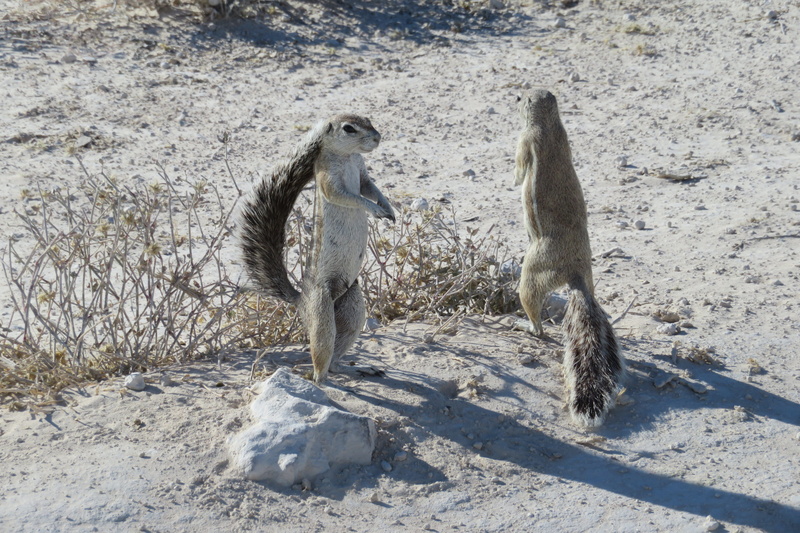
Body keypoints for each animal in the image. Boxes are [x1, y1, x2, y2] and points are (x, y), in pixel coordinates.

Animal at [237, 114, 395, 384]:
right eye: (349, 128)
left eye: (368, 120)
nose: (378, 138)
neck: (348, 156)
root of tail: (301, 300)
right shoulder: (327, 178)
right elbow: (351, 197)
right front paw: (374, 209)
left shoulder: (363, 174)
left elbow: (370, 188)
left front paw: (388, 207)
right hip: (322, 312)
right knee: (321, 356)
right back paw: (321, 381)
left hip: (353, 308)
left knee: (336, 359)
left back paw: (355, 369)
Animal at [513, 89, 624, 427]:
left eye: (522, 97)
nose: (515, 98)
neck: (550, 123)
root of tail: (575, 275)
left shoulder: (525, 139)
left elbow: (519, 171)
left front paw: (514, 176)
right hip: (585, 274)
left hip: (532, 272)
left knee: (535, 315)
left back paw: (524, 326)